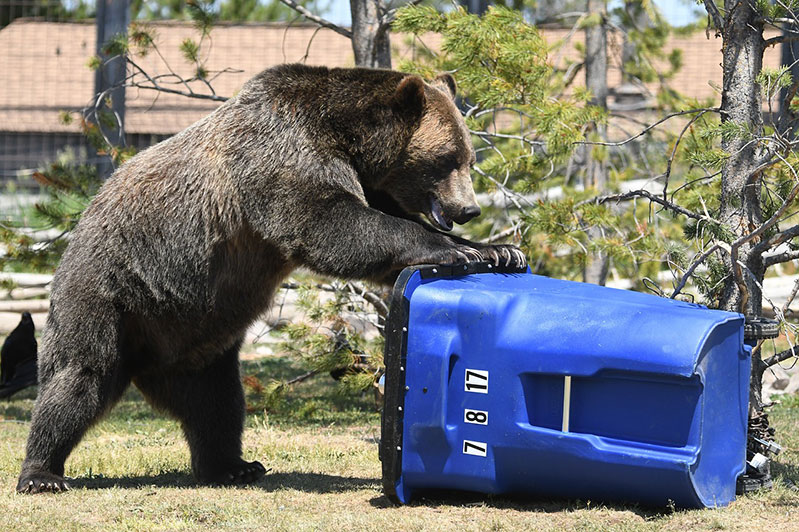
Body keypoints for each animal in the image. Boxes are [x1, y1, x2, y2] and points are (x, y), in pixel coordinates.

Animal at [15, 64, 528, 492]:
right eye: (448, 158)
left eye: (470, 157)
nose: (469, 209)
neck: (347, 139)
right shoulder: (281, 157)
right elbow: (333, 224)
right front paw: (454, 249)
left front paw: (498, 249)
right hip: (109, 294)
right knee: (79, 376)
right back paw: (42, 473)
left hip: (196, 338)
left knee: (217, 403)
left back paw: (232, 465)